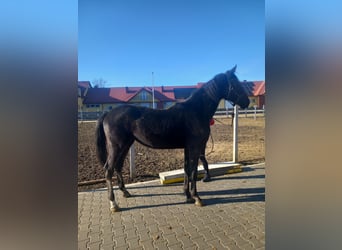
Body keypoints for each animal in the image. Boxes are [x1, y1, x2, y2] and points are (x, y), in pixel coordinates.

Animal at [95, 66, 250, 211]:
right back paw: (113, 204)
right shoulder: (195, 147)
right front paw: (197, 198)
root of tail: (108, 113)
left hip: (126, 144)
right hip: (117, 146)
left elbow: (187, 170)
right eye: (235, 83)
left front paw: (188, 196)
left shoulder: (187, 148)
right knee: (109, 169)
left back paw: (125, 192)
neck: (196, 111)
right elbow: (193, 172)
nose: (247, 102)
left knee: (118, 166)